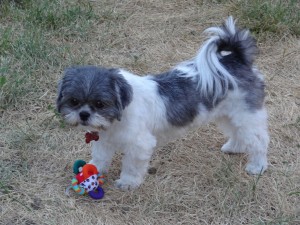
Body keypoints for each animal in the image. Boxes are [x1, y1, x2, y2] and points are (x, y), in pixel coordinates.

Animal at [56, 17, 270, 190]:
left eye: (100, 103)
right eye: (74, 101)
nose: (84, 114)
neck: (119, 116)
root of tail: (236, 60)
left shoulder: (139, 144)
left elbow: (132, 166)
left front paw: (127, 182)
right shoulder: (104, 140)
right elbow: (100, 158)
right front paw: (92, 170)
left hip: (245, 114)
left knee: (259, 140)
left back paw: (257, 166)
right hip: (229, 114)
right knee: (238, 133)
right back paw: (235, 147)